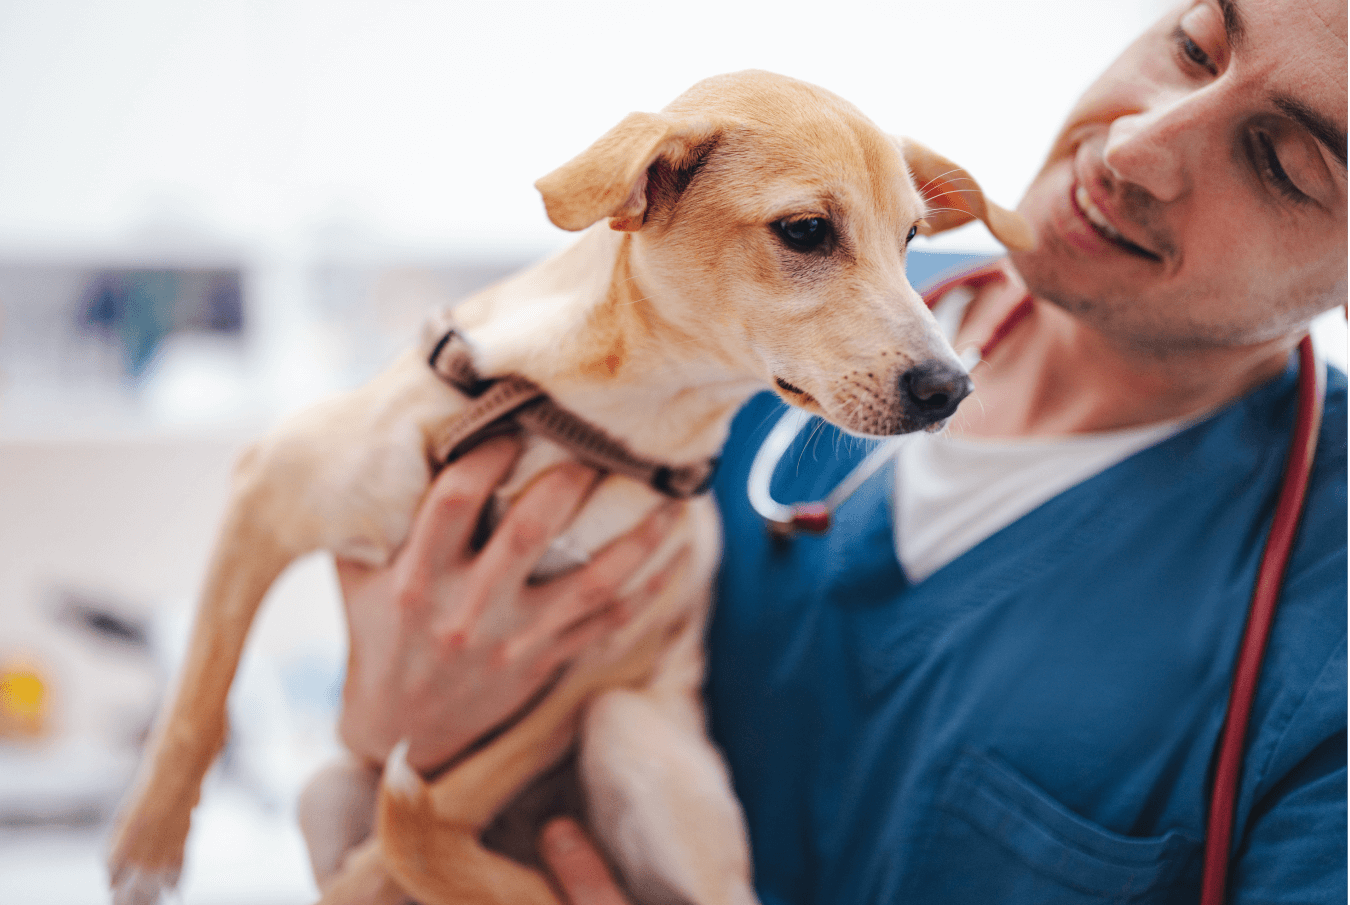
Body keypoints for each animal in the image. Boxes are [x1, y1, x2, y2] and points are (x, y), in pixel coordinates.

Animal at [108, 69, 1031, 905]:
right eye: (805, 230)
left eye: (911, 240)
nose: (952, 387)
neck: (602, 417)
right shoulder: (269, 487)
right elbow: (201, 690)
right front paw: (148, 842)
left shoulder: (606, 656)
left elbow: (447, 800)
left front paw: (368, 877)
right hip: (326, 785)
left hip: (633, 735)